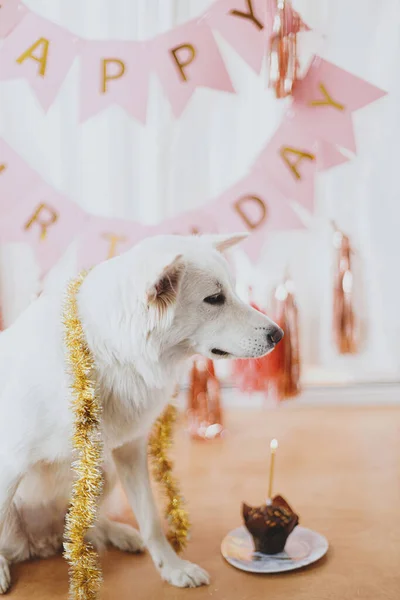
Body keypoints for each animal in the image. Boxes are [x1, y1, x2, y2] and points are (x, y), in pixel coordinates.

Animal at [0, 233, 282, 592]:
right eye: (215, 299)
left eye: (232, 291)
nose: (279, 334)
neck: (106, 355)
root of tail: (40, 542)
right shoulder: (10, 462)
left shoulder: (129, 449)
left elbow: (150, 519)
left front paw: (172, 568)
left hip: (102, 470)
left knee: (85, 526)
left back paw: (117, 533)